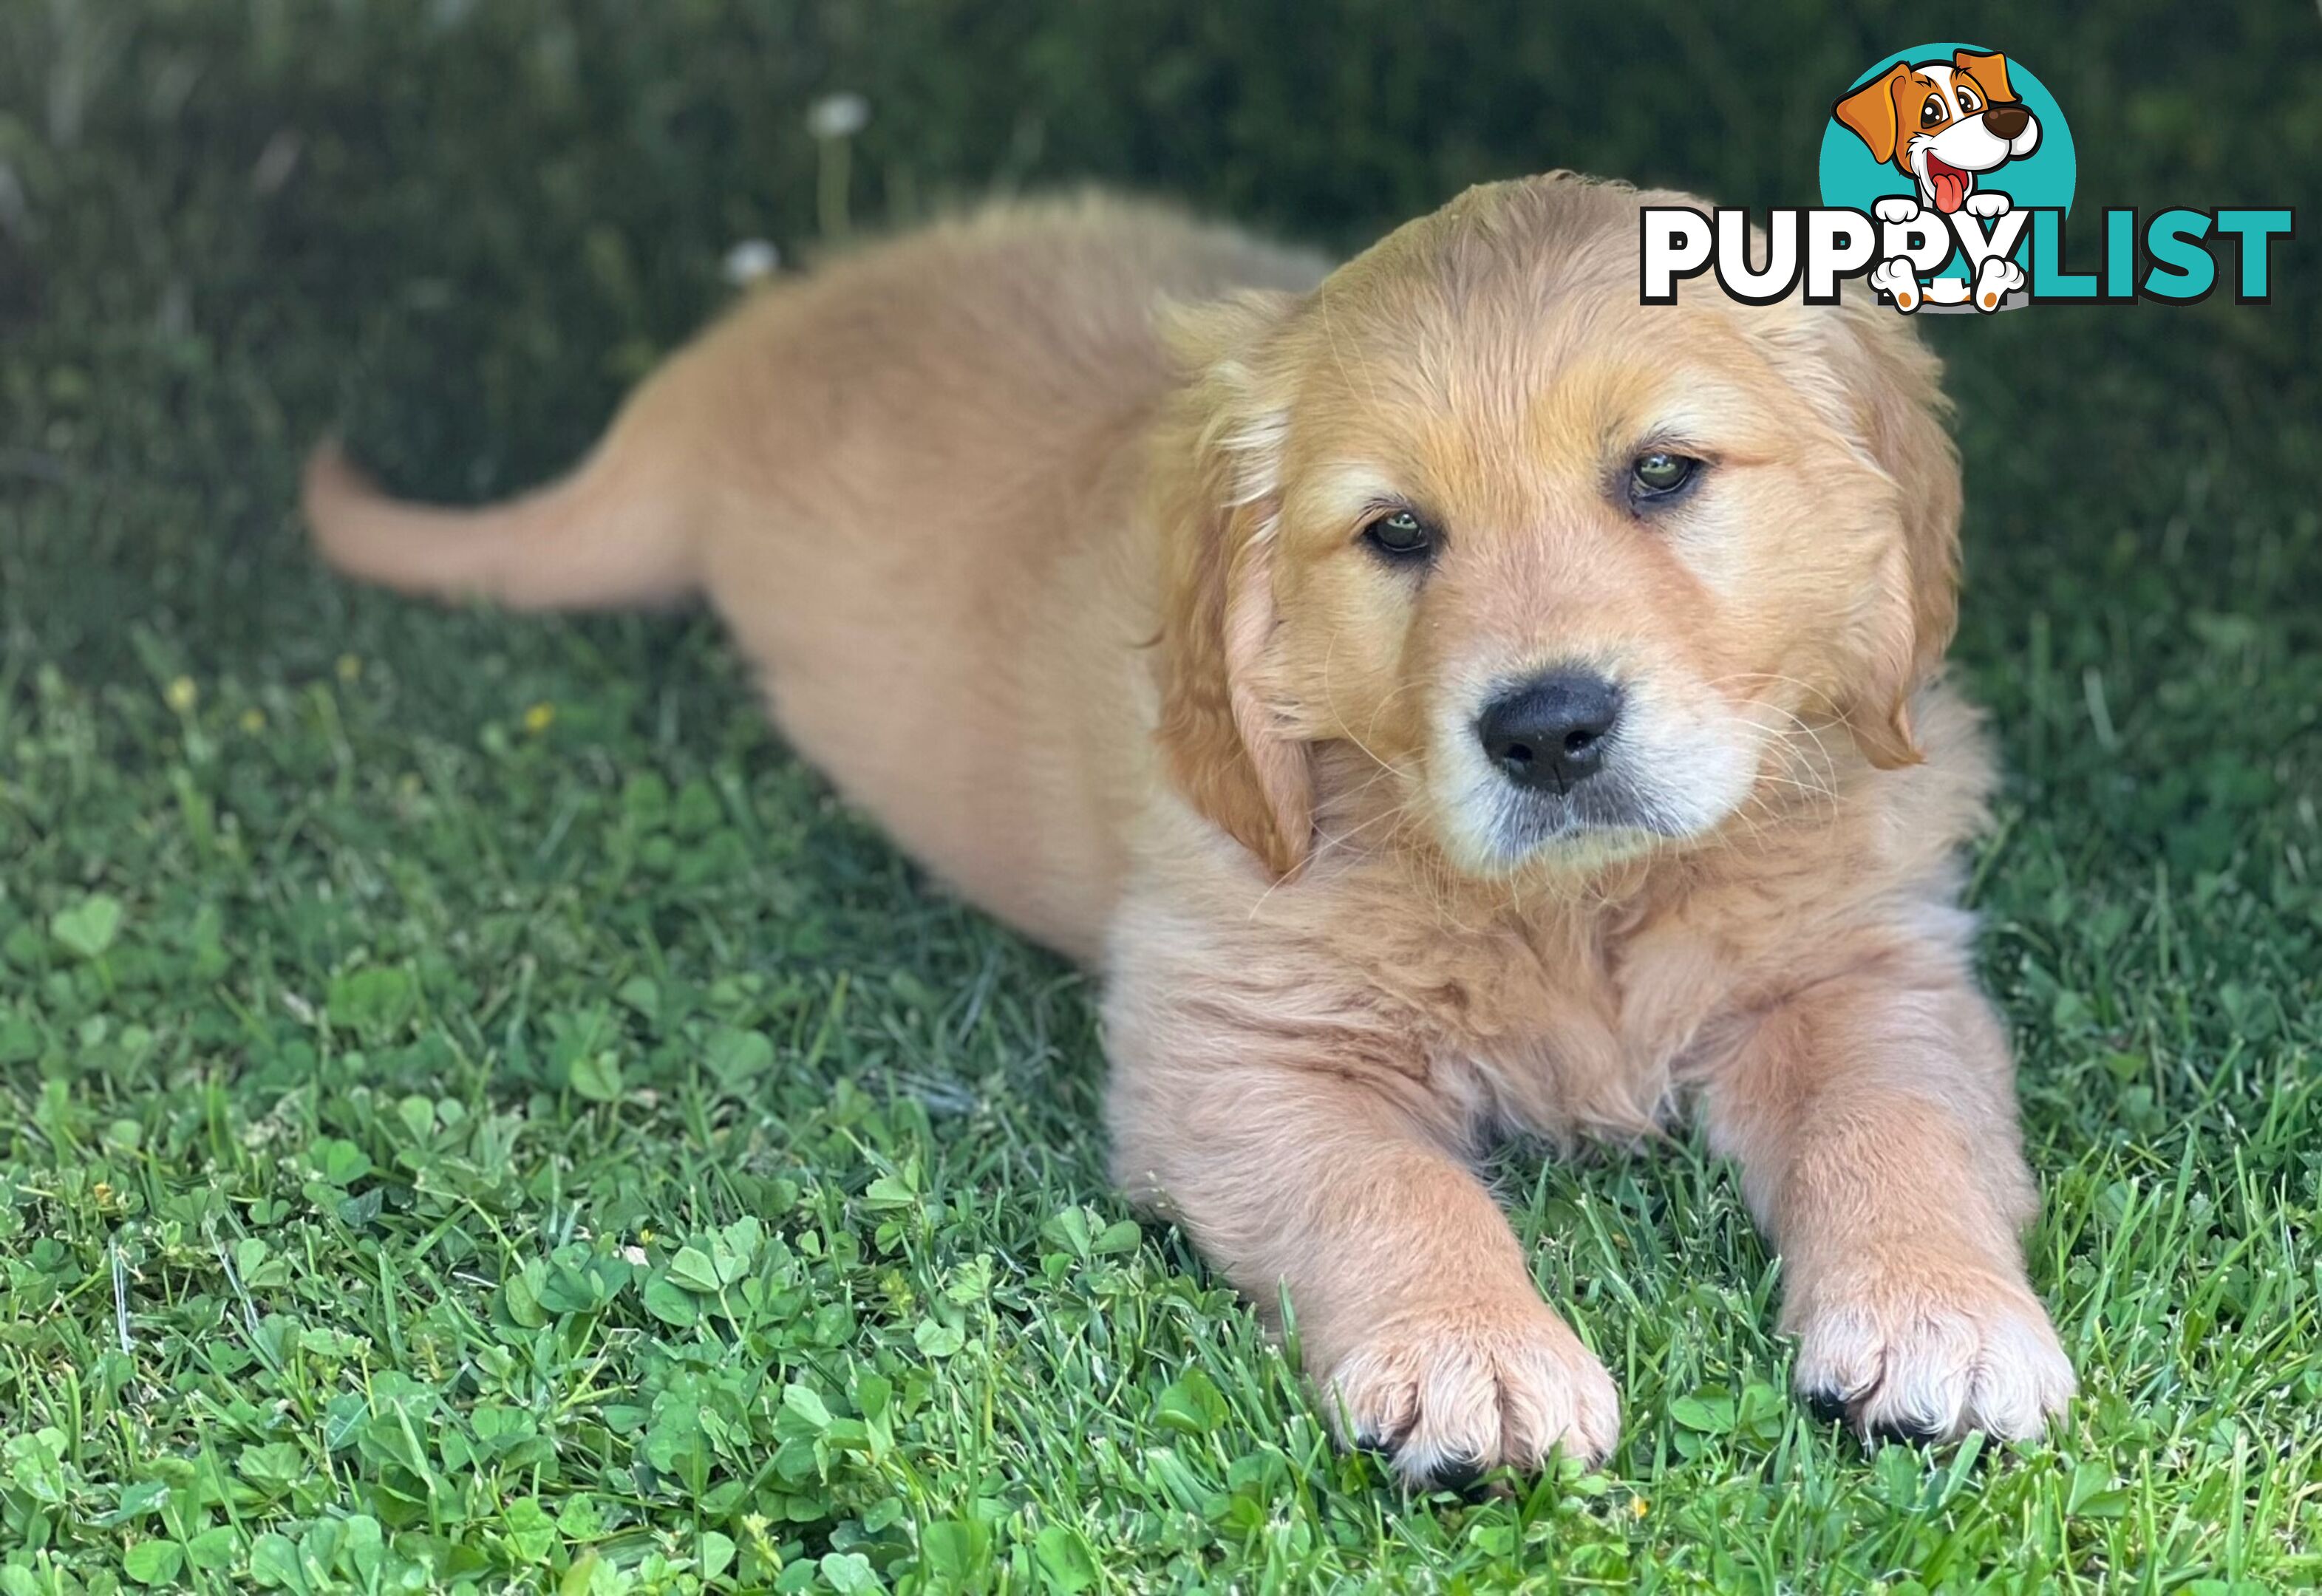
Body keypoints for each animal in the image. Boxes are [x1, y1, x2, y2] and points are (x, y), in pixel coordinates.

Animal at [304, 174, 2071, 1487]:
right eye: (1395, 533)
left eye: (1661, 473)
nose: (1546, 730)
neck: (1572, 906)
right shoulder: (1235, 1045)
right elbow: (1394, 1190)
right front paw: (1471, 1358)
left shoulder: (1863, 960)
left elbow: (1892, 1124)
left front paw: (1942, 1319)